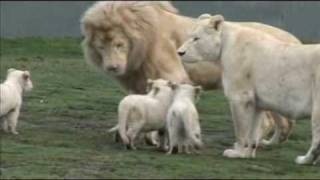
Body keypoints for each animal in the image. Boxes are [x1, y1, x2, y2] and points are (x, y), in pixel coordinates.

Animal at [80, 1, 300, 146]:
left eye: (119, 44)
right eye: (100, 46)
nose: (112, 67)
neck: (142, 41)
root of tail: (294, 39)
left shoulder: (172, 74)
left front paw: (153, 137)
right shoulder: (139, 80)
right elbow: (142, 103)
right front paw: (128, 132)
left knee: (270, 121)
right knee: (282, 122)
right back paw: (269, 142)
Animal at [179, 14, 320, 165]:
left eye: (196, 38)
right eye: (189, 36)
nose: (179, 52)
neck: (226, 43)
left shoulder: (240, 96)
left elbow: (241, 128)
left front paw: (236, 152)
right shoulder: (256, 102)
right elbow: (253, 129)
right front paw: (247, 153)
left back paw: (304, 160)